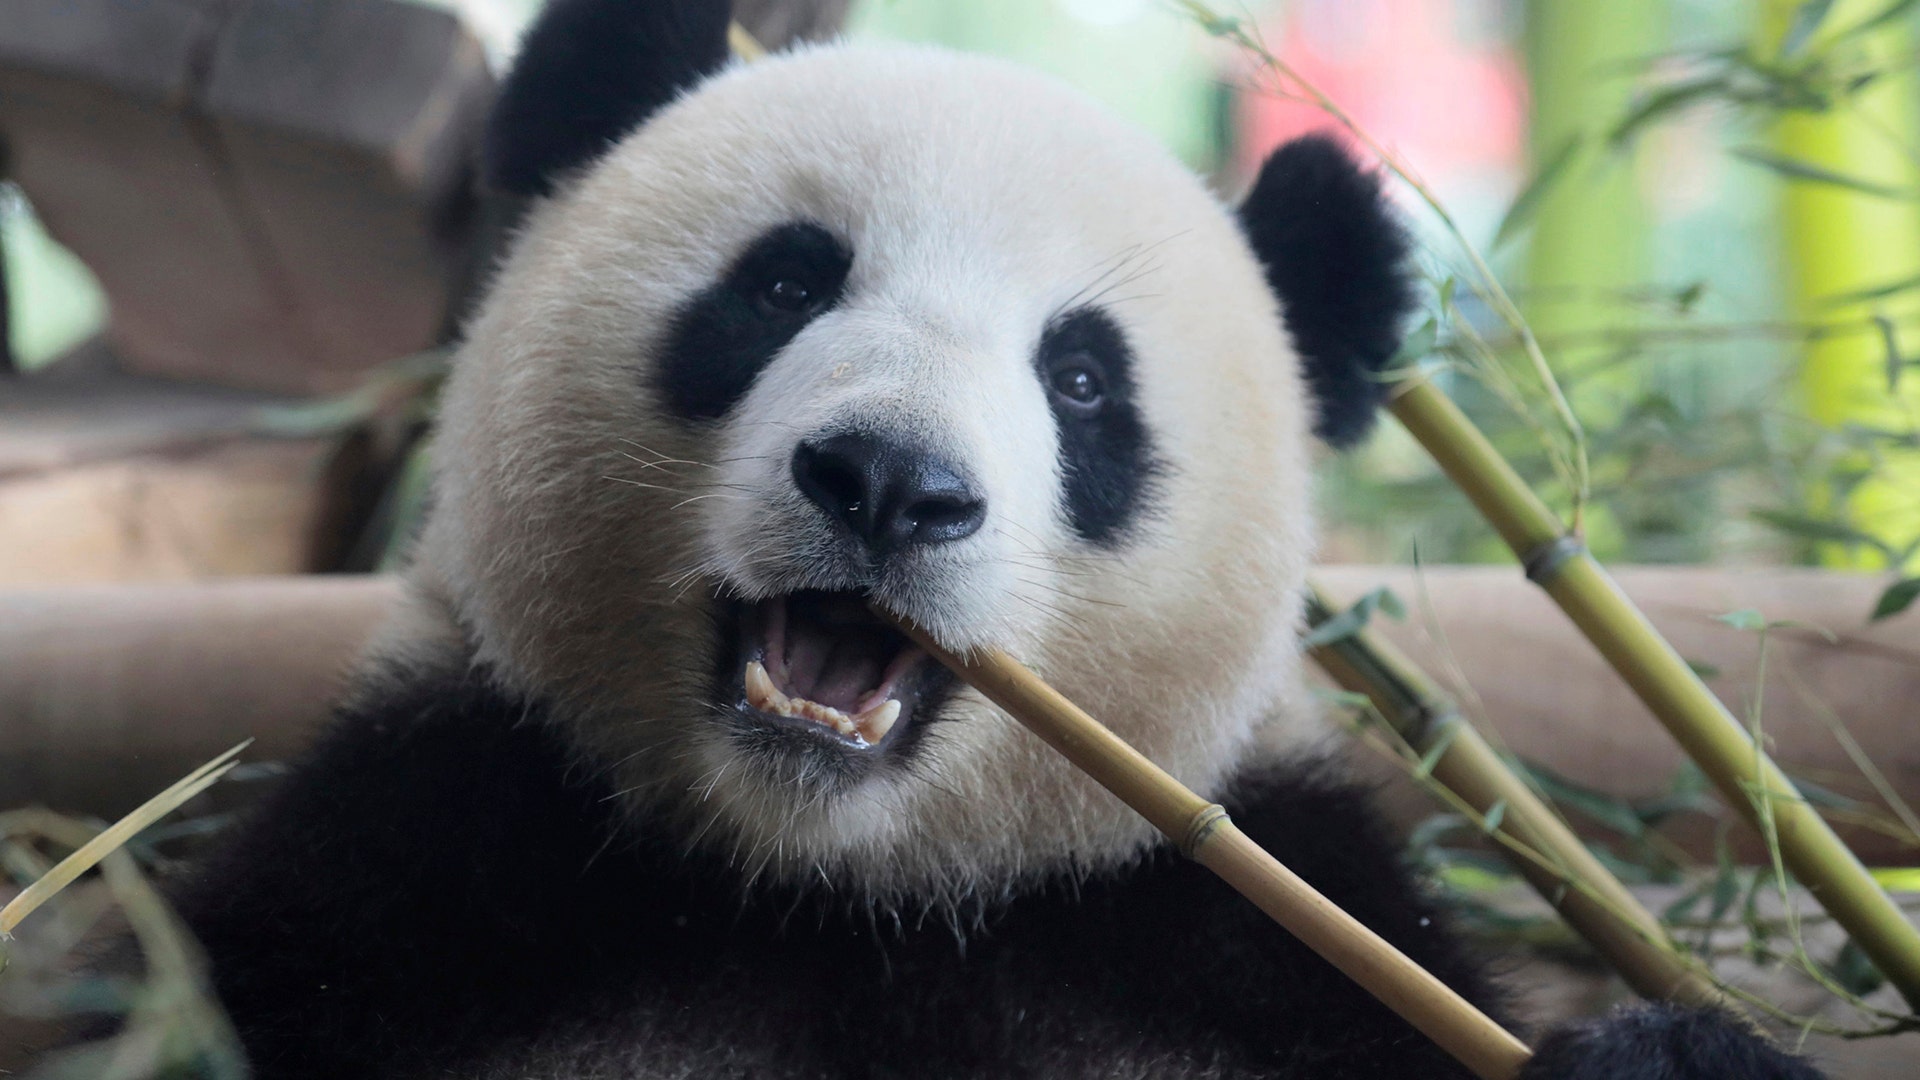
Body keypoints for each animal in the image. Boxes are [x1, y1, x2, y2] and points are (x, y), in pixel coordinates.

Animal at [173, 2, 1825, 1078]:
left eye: (1082, 381)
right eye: (785, 285)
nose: (892, 484)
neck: (840, 891)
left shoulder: (1249, 933)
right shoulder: (426, 863)